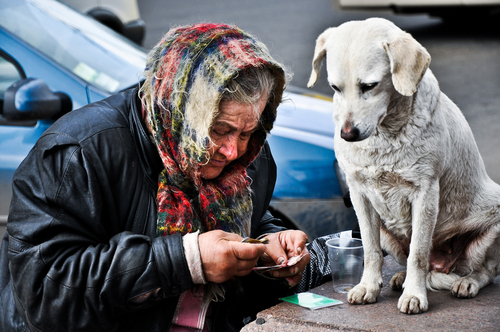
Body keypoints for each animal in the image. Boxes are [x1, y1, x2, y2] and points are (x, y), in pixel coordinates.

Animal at [308, 17, 500, 314]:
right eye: (335, 88)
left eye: (369, 86)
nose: (347, 134)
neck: (384, 138)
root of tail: (442, 266)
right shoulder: (359, 195)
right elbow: (371, 251)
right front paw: (368, 287)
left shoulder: (425, 194)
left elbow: (418, 254)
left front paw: (414, 295)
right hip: (386, 231)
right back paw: (400, 277)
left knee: (485, 272)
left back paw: (466, 282)